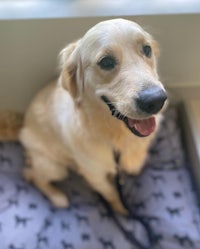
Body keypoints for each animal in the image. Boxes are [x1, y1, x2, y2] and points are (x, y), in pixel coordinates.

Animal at [0, 19, 167, 214]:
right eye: (106, 61)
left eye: (147, 49)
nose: (155, 100)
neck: (115, 135)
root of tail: (22, 125)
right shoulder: (95, 174)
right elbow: (111, 193)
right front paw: (122, 213)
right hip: (54, 167)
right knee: (31, 175)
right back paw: (58, 197)